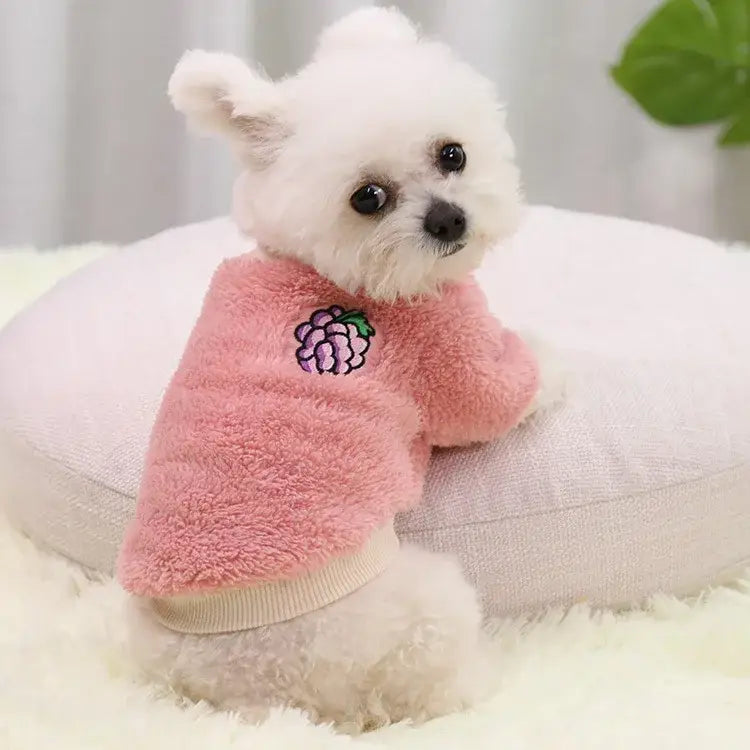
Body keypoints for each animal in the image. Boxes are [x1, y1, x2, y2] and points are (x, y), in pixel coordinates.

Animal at [126, 5, 564, 736]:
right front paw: (550, 359)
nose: (449, 218)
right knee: (429, 681)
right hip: (415, 608)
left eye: (452, 154)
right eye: (369, 198)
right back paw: (479, 679)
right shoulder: (445, 340)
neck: (310, 261)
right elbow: (498, 395)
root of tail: (251, 690)